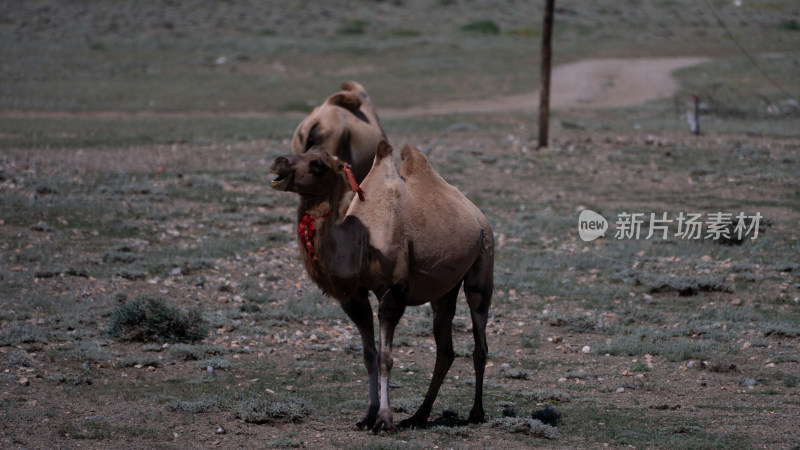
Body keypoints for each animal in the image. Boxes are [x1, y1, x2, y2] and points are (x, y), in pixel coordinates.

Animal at [268, 141, 494, 432]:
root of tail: (475, 212)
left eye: (318, 164)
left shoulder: (392, 293)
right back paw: (419, 415)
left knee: (480, 342)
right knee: (445, 350)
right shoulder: (354, 297)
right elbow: (368, 356)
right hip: (444, 290)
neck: (362, 244)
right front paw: (368, 416)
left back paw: (476, 413)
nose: (279, 162)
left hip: (483, 264)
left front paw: (385, 419)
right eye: (305, 151)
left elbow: (386, 357)